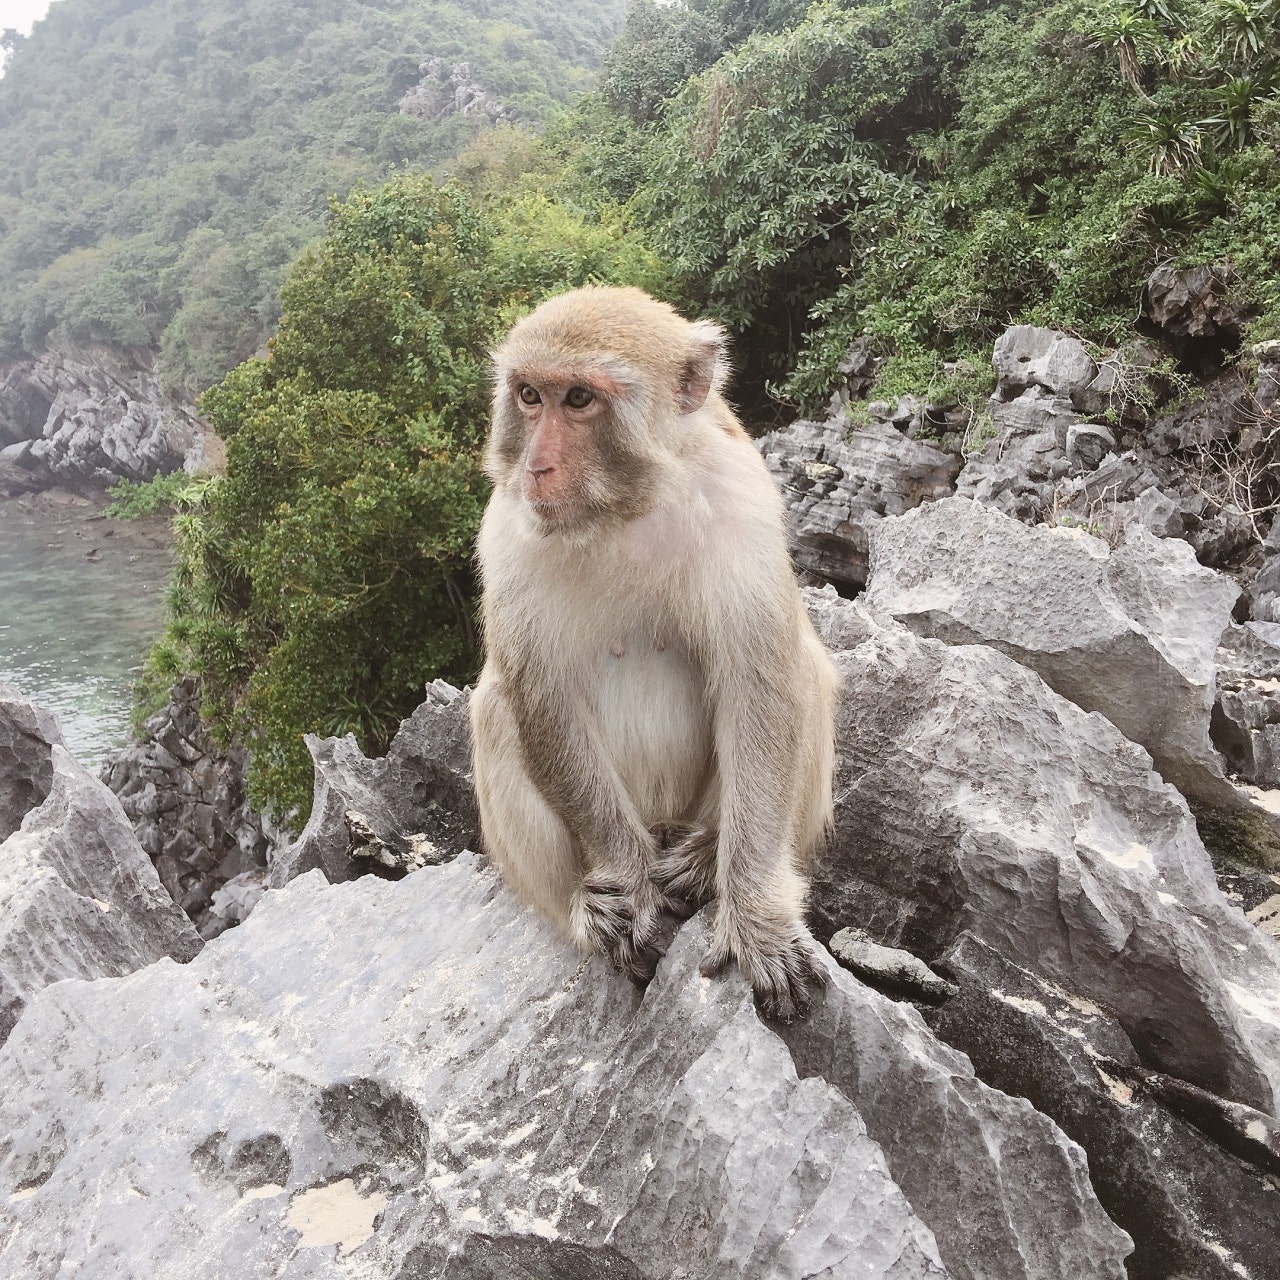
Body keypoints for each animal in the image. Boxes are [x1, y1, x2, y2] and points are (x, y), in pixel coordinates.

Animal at [471, 282, 839, 1018]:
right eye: (528, 396)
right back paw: (588, 907)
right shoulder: (508, 531)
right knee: (495, 708)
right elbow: (540, 699)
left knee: (802, 669)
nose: (536, 465)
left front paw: (758, 918)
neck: (625, 512)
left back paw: (701, 858)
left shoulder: (742, 503)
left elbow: (761, 682)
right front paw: (628, 882)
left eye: (578, 399)